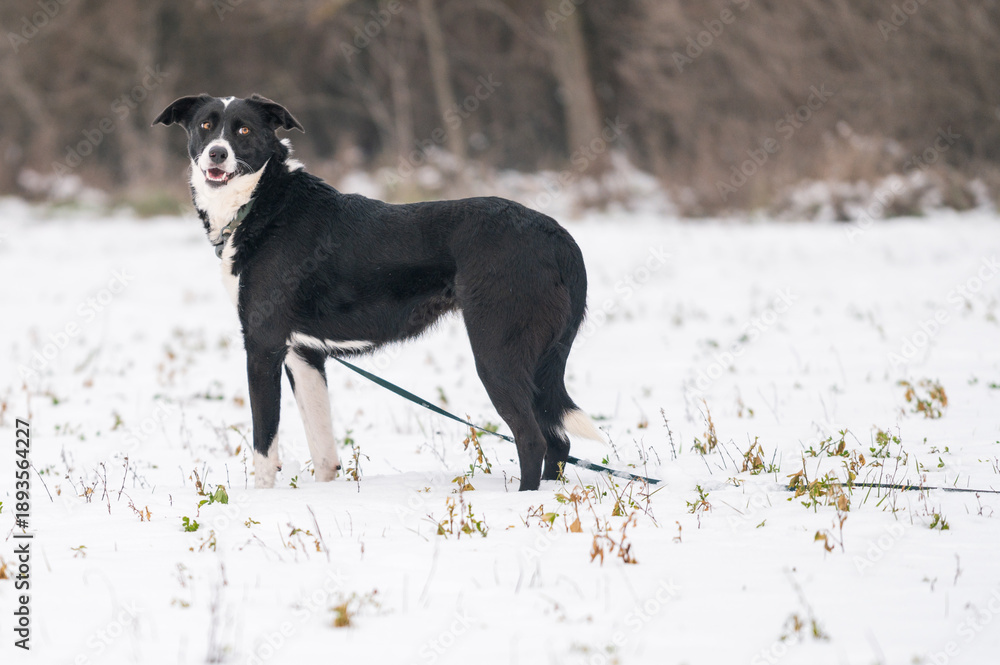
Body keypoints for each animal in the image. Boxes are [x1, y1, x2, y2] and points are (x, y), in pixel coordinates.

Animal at [153, 93, 601, 491]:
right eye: (205, 126)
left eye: (243, 129)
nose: (216, 154)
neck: (263, 201)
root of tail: (557, 236)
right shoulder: (304, 354)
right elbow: (323, 451)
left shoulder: (263, 346)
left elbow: (264, 446)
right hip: (539, 362)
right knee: (558, 441)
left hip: (497, 354)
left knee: (533, 439)